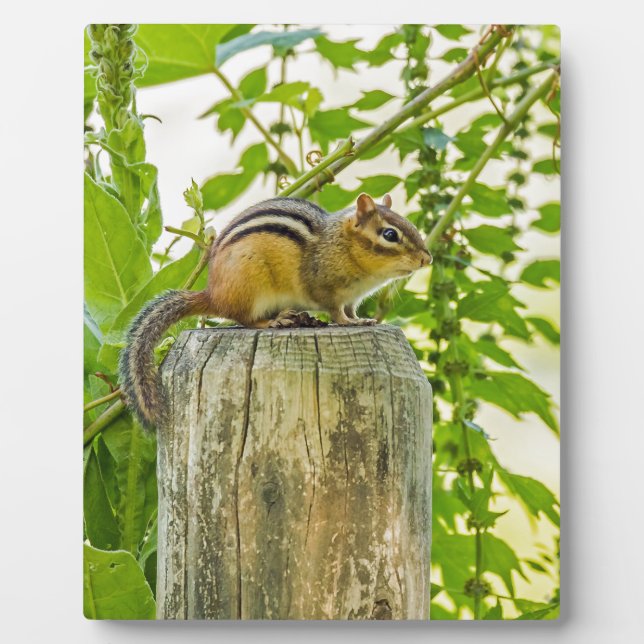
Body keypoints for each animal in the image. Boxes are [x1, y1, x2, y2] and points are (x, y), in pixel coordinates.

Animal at [119, 192, 432, 429]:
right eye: (390, 234)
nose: (426, 259)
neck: (344, 246)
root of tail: (213, 294)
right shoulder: (326, 290)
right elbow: (336, 312)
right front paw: (348, 323)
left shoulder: (352, 298)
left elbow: (352, 310)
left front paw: (363, 320)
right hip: (251, 286)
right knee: (244, 319)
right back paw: (274, 322)